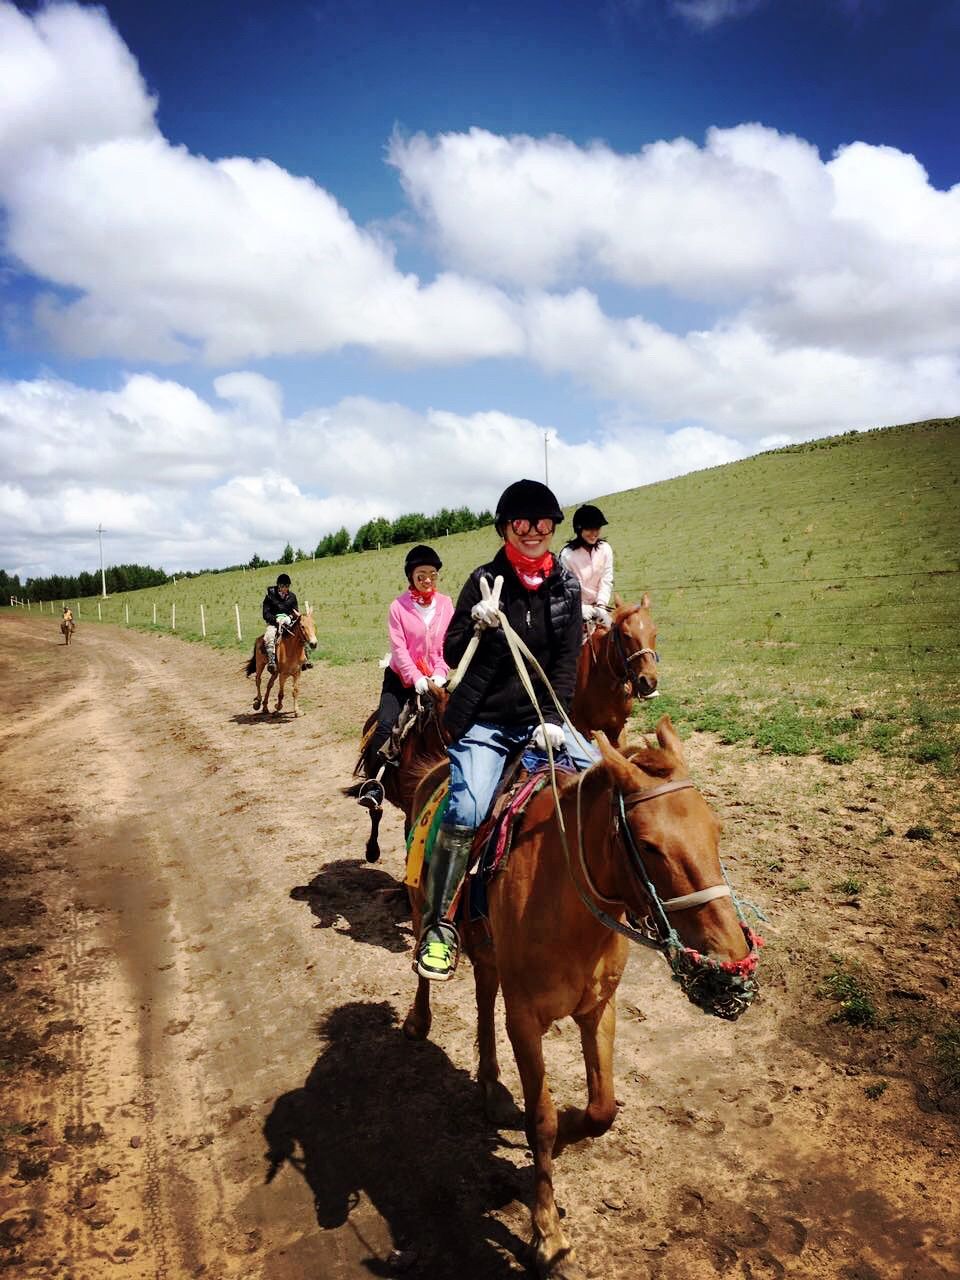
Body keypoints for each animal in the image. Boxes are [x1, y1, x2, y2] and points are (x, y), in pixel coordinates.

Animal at [404, 716, 757, 1274]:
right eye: (649, 846)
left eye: (716, 831)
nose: (730, 956)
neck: (564, 895)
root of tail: (436, 768)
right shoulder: (526, 1020)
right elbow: (542, 1120)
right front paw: (547, 1233)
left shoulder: (598, 1010)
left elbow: (601, 1109)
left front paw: (572, 1124)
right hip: (423, 908)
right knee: (426, 965)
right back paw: (419, 1020)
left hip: (489, 952)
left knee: (484, 994)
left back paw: (492, 1088)